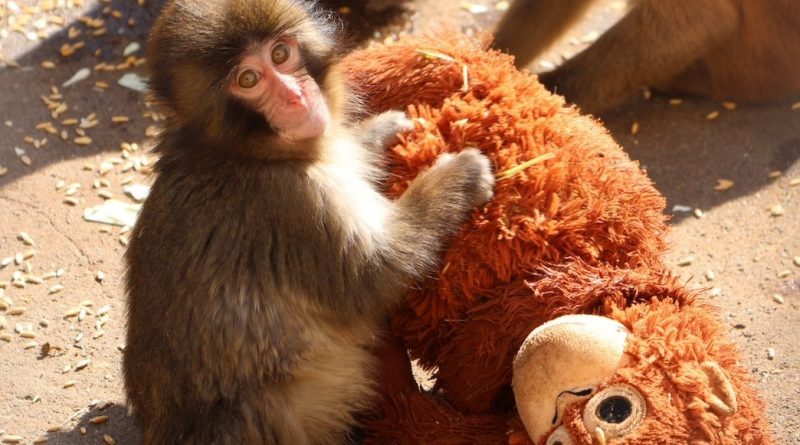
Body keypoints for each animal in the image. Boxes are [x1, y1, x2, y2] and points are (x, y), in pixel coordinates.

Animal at [122, 0, 495, 444]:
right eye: (248, 79)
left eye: (280, 54)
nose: (295, 96)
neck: (241, 153)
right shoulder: (290, 202)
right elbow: (374, 275)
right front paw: (459, 176)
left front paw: (379, 131)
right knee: (257, 407)